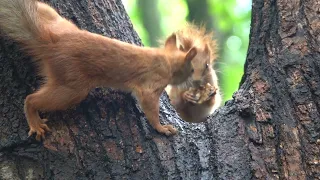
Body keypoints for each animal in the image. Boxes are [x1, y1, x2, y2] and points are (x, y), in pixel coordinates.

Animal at [0, 0, 199, 141]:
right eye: (192, 69)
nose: (197, 81)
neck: (166, 60)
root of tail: (53, 43)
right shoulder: (151, 85)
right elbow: (150, 107)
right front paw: (162, 128)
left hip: (54, 18)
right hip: (72, 87)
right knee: (31, 99)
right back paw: (34, 120)